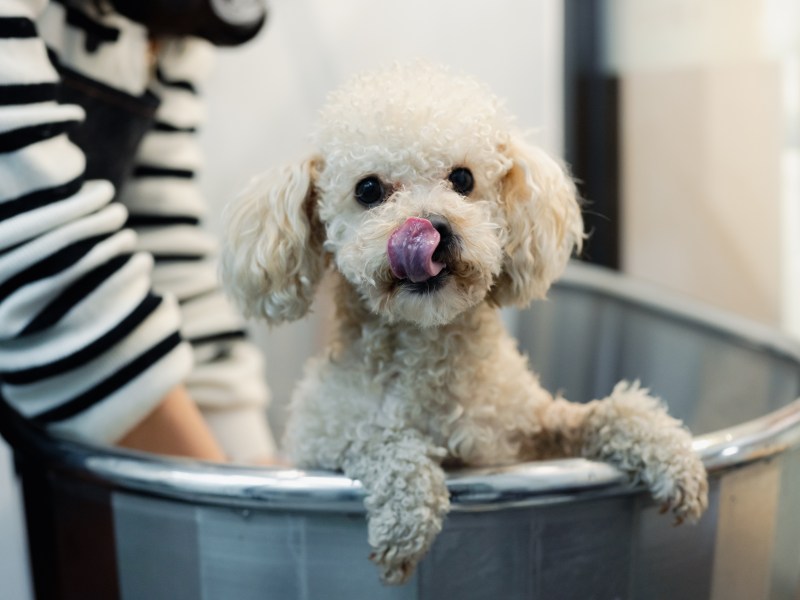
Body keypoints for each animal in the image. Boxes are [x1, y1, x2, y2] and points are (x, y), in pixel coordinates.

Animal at [219, 63, 708, 584]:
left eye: (462, 178)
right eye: (368, 190)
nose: (432, 228)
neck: (429, 358)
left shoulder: (525, 432)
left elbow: (607, 412)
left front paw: (673, 455)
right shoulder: (323, 441)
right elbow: (380, 438)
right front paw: (407, 516)